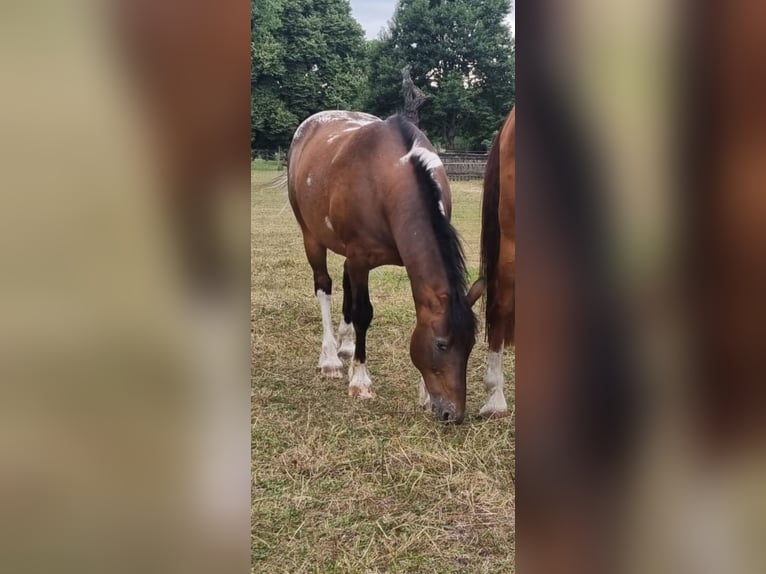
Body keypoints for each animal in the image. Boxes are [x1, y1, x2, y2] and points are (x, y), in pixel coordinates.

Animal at [287, 110, 484, 423]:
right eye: (441, 344)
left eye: (471, 345)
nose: (453, 414)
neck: (388, 180)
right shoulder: (360, 258)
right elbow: (363, 313)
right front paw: (360, 381)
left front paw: (425, 395)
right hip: (312, 237)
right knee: (324, 286)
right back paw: (330, 358)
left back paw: (346, 345)